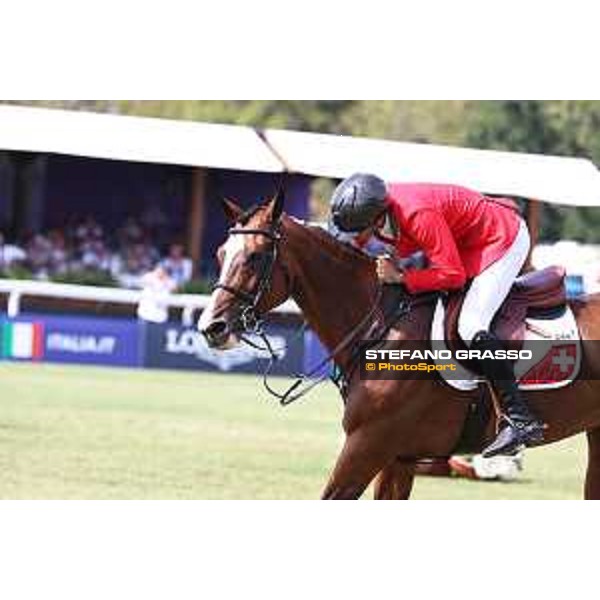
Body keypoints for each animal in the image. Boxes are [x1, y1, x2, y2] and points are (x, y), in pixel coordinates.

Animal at [199, 191, 600, 496]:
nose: (211, 328)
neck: (381, 327)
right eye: (220, 254)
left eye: (255, 256)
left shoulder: (368, 445)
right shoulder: (397, 458)